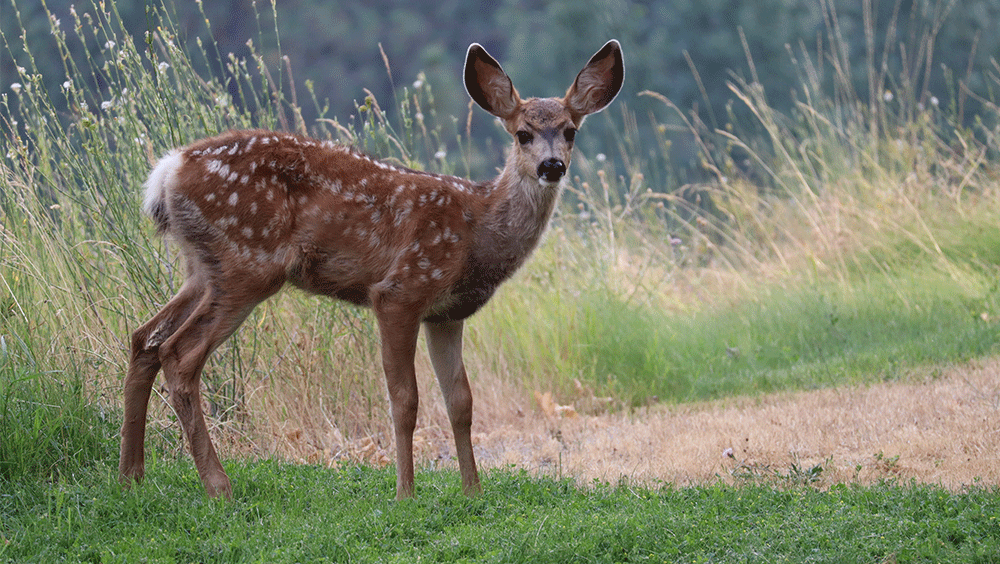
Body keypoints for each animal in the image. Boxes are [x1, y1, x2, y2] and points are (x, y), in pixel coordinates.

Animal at [119, 39, 624, 498]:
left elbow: (460, 401)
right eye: (522, 133)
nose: (551, 165)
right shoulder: (401, 290)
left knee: (145, 339)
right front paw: (406, 493)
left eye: (570, 131)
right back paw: (218, 486)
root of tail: (167, 171)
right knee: (179, 354)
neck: (476, 230)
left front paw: (473, 492)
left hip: (202, 268)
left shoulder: (446, 313)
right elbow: (406, 399)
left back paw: (131, 476)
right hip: (248, 262)